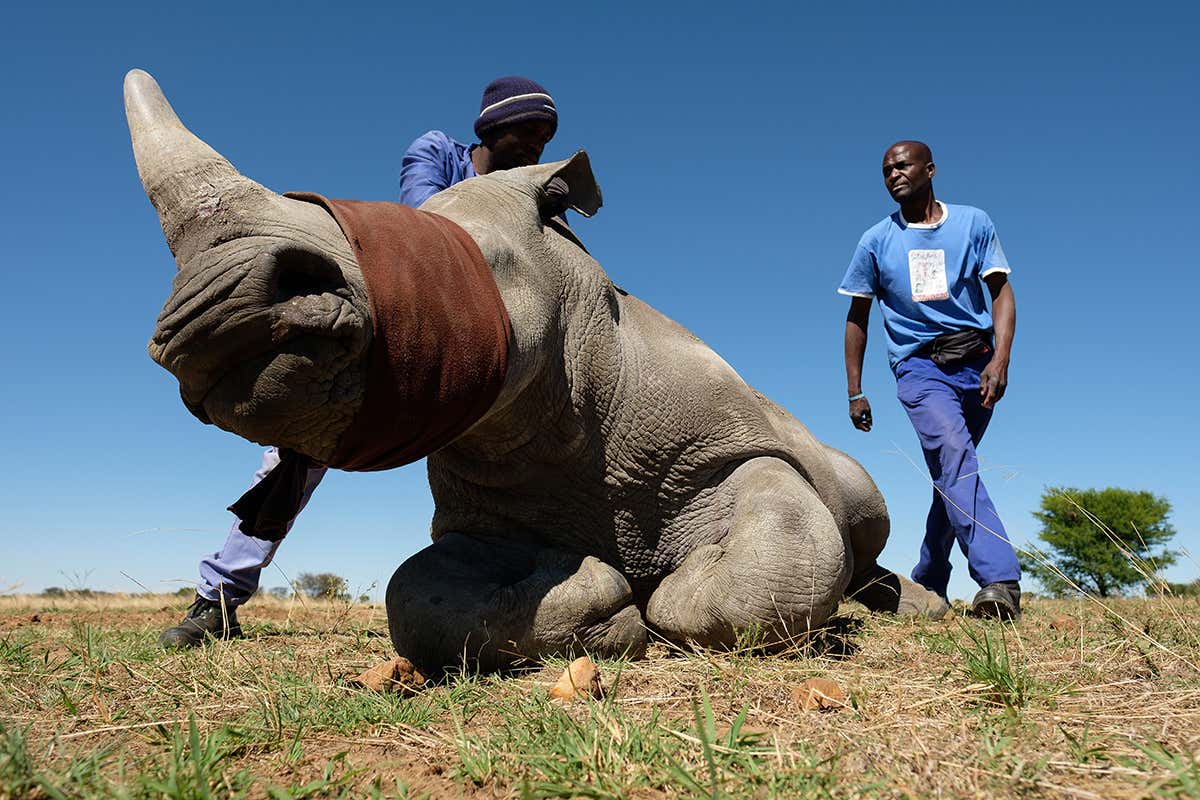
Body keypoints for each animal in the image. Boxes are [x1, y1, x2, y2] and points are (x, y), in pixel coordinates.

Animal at [126, 69, 946, 674]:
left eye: (477, 267)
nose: (214, 316)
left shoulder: (737, 447)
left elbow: (777, 554)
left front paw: (663, 601)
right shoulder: (485, 507)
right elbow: (414, 595)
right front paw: (603, 604)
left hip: (822, 450)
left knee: (856, 505)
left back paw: (912, 605)